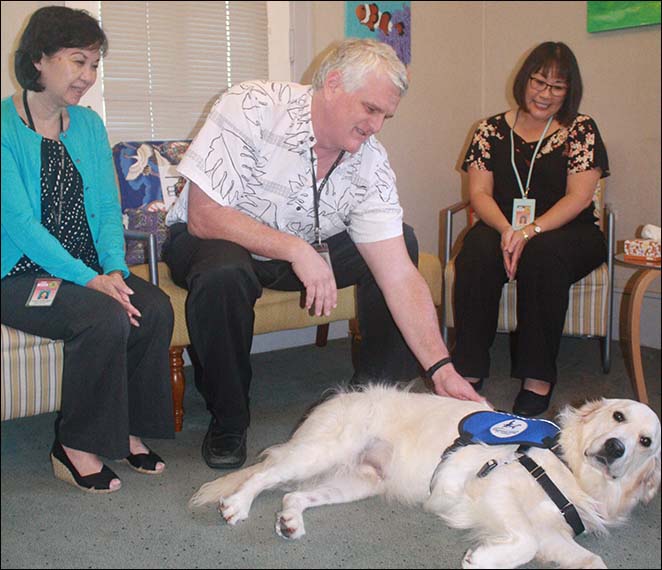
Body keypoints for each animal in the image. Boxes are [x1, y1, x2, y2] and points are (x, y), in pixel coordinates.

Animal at [189, 384, 660, 564]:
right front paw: (482, 559)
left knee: (293, 496)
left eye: (646, 441)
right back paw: (236, 505)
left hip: (357, 481)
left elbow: (591, 559)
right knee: (263, 475)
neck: (571, 469)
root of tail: (339, 397)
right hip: (318, 451)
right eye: (617, 416)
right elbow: (523, 542)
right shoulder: (495, 486)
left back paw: (290, 521)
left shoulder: (553, 533)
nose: (615, 448)